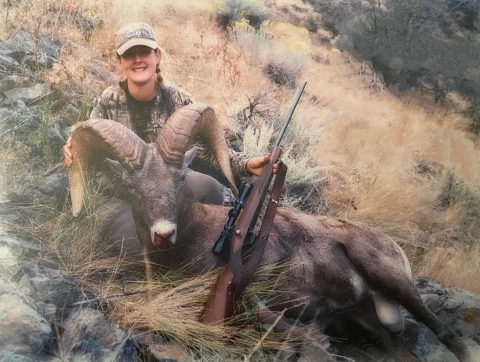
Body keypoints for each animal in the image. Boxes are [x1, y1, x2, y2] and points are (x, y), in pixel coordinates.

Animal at [66, 102, 472, 362]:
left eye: (180, 177)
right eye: (131, 186)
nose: (163, 234)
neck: (200, 237)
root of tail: (392, 248)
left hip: (389, 276)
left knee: (448, 333)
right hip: (371, 323)